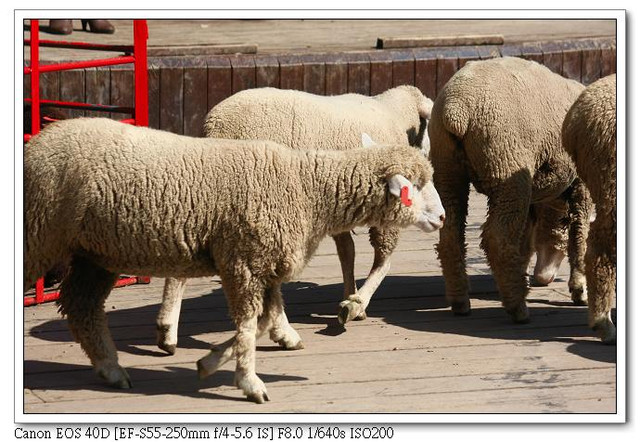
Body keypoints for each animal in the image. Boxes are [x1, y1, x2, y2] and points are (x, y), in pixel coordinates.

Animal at [25, 115, 444, 402]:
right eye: (416, 186)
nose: (441, 218)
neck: (306, 187)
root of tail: (38, 142)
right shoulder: (242, 261)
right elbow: (247, 323)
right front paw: (250, 383)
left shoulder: (263, 264)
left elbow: (262, 322)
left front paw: (210, 362)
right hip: (40, 233)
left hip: (94, 253)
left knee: (82, 306)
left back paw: (111, 369)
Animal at [156, 85, 436, 356]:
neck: (395, 112)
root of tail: (213, 126)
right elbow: (382, 261)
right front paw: (355, 304)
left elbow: (347, 252)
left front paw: (351, 296)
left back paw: (168, 332)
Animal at [428, 57, 592, 322]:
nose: (543, 278)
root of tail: (456, 108)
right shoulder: (580, 184)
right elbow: (579, 235)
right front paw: (580, 289)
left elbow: (525, 237)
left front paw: (524, 271)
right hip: (506, 166)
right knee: (498, 237)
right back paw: (517, 307)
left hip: (447, 166)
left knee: (451, 233)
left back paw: (460, 301)